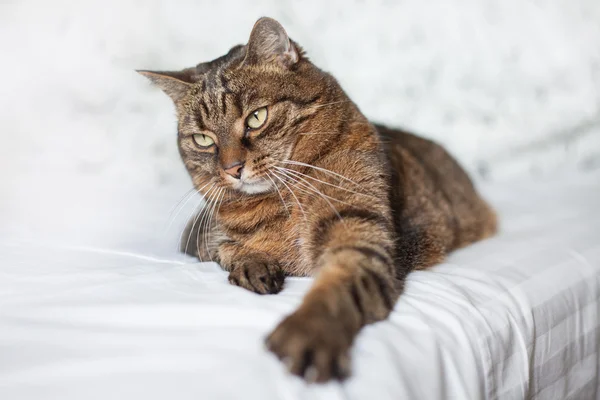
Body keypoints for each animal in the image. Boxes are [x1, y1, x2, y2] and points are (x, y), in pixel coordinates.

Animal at [139, 17, 496, 382]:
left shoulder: (360, 229)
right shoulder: (198, 237)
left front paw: (309, 331)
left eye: (256, 117)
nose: (232, 168)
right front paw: (252, 264)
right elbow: (227, 249)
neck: (282, 200)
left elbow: (340, 283)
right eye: (203, 139)